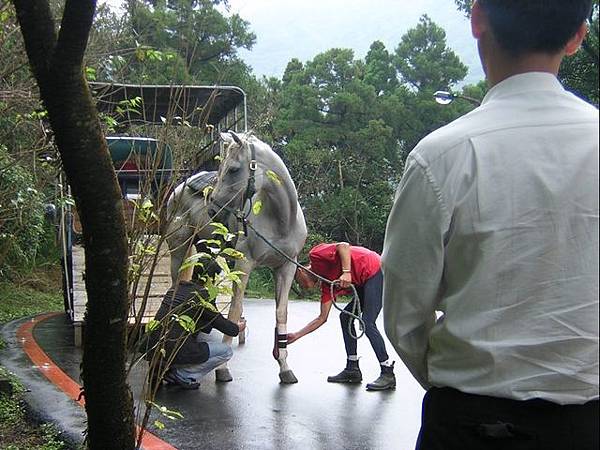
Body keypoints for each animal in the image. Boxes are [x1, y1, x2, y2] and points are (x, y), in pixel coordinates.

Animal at [164, 131, 308, 384]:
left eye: (232, 169)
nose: (212, 209)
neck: (281, 220)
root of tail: (179, 189)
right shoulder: (244, 264)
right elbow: (234, 310)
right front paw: (222, 370)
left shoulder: (286, 267)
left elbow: (281, 312)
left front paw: (284, 367)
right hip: (179, 251)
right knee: (176, 284)